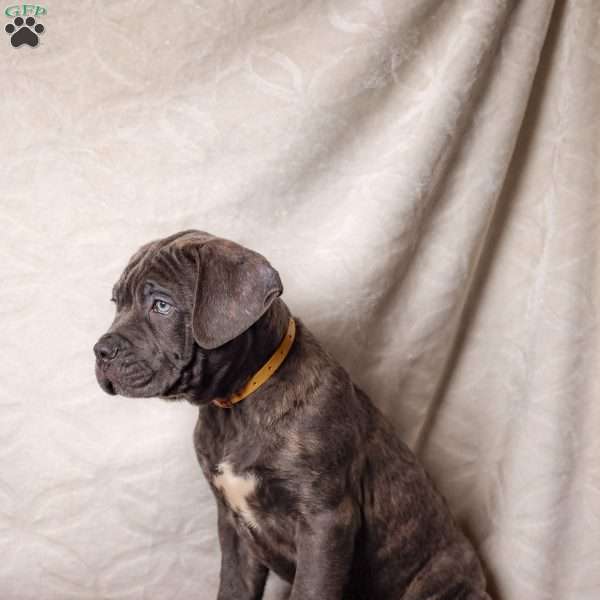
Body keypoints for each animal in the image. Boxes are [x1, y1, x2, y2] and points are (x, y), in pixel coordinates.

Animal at [92, 231, 488, 600]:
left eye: (161, 305)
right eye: (117, 303)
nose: (100, 350)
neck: (236, 406)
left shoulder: (325, 521)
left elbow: (310, 590)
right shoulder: (235, 529)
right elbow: (233, 587)